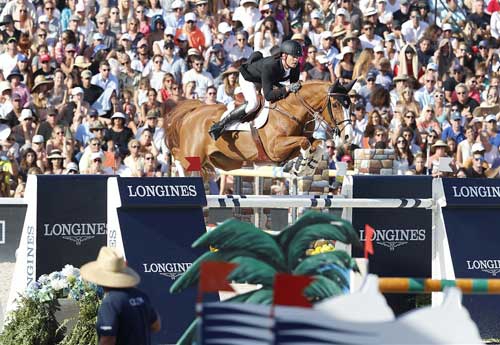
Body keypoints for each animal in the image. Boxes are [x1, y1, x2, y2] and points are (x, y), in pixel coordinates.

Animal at [166, 78, 354, 175]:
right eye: (335, 105)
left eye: (350, 104)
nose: (348, 136)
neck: (291, 109)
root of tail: (193, 111)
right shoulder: (274, 148)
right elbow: (304, 142)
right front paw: (301, 165)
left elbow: (317, 144)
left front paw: (308, 166)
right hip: (193, 153)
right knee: (178, 155)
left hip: (223, 160)